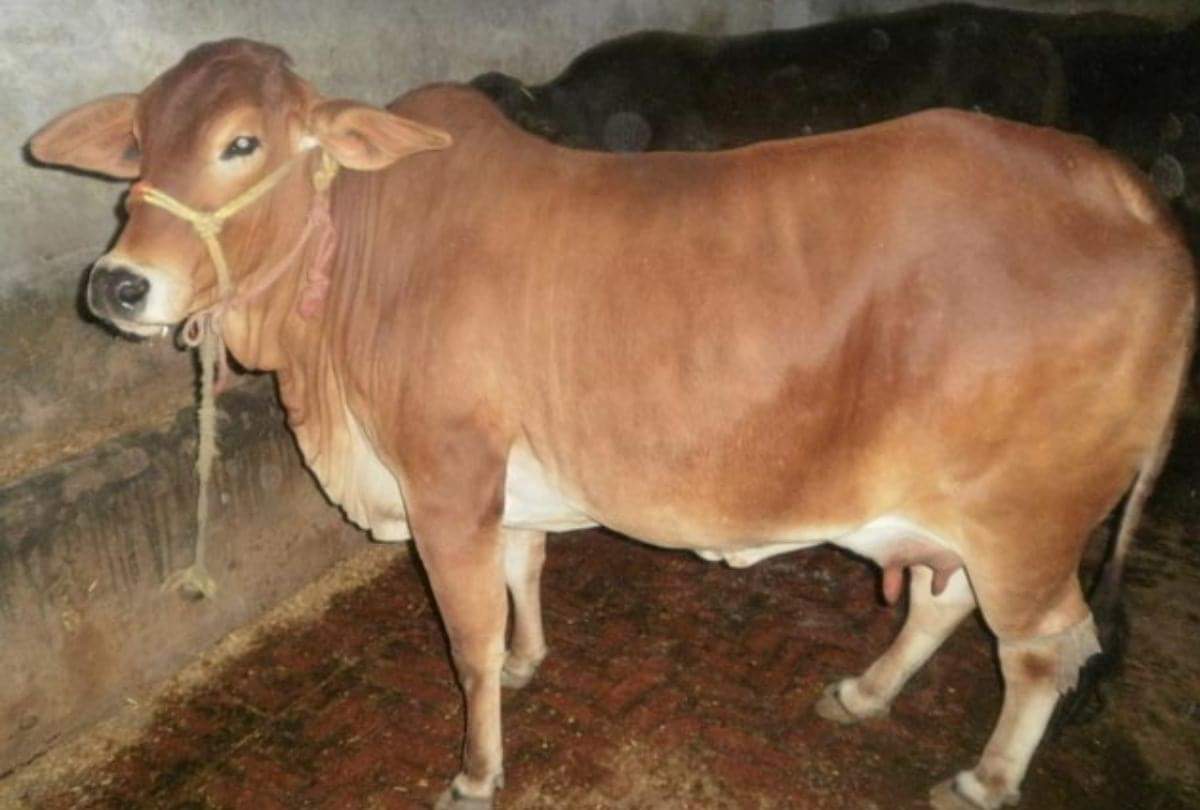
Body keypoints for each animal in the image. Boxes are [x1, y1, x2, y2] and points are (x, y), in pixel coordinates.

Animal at [30, 40, 1195, 809]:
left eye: (242, 142)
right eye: (140, 139)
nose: (119, 285)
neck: (359, 251)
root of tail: (1123, 189)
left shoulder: (445, 482)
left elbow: (464, 634)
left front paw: (476, 769)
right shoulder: (504, 487)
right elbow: (524, 572)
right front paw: (528, 663)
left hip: (1027, 514)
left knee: (1045, 648)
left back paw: (984, 778)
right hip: (951, 508)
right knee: (947, 603)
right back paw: (864, 692)